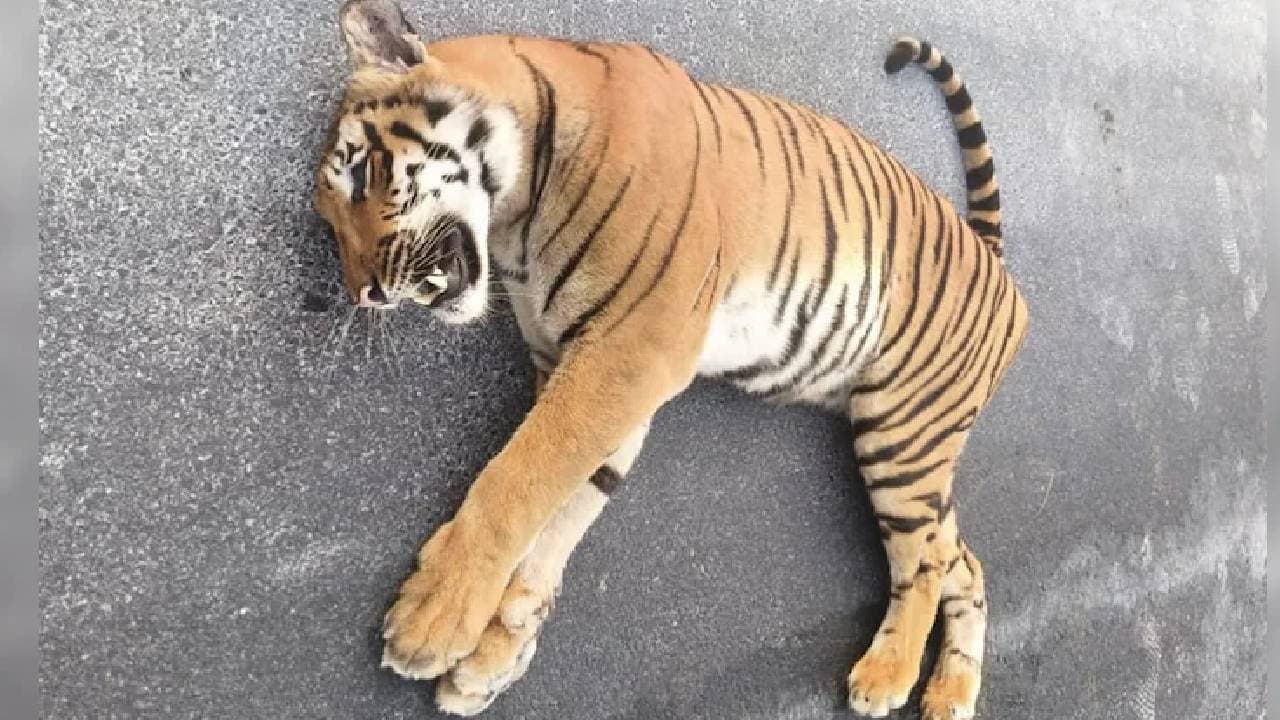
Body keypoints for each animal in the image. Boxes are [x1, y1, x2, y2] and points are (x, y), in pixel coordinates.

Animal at [312, 1, 1029, 718]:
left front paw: (432, 621)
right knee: (962, 562)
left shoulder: (629, 352)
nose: (365, 293)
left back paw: (887, 675)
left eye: (362, 175)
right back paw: (950, 693)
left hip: (902, 429)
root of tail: (992, 259)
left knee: (927, 564)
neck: (514, 221)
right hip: (913, 449)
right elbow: (562, 511)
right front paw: (490, 658)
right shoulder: (582, 365)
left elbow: (518, 481)